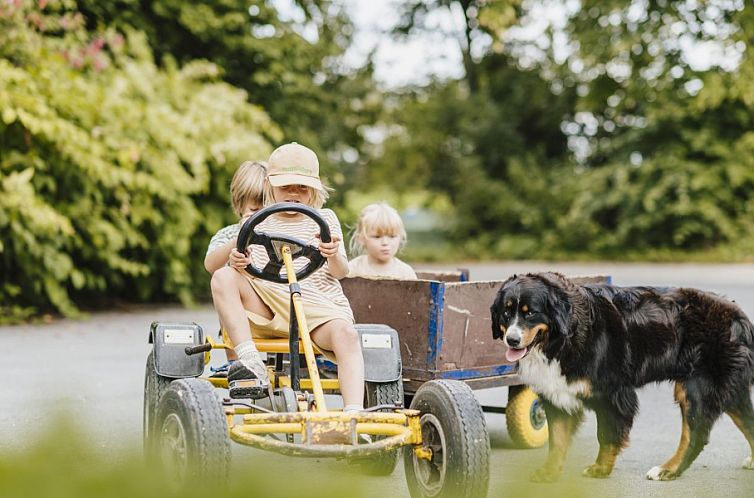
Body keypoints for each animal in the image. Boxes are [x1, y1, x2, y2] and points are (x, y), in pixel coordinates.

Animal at [488, 272, 752, 482]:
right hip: (729, 391)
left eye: (530, 313)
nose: (511, 339)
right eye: (505, 313)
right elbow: (557, 440)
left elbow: (605, 436)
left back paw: (668, 469)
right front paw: (550, 472)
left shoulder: (612, 395)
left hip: (697, 389)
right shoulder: (556, 395)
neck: (563, 339)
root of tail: (740, 317)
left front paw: (600, 468)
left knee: (695, 437)